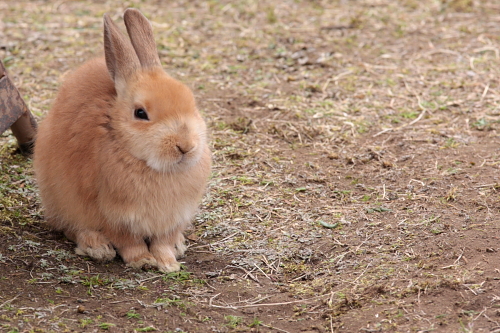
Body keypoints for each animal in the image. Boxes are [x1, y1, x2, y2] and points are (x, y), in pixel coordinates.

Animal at [32, 8, 213, 272]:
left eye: (192, 102)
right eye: (140, 113)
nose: (186, 146)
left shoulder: (172, 218)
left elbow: (163, 242)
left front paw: (169, 263)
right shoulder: (111, 215)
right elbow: (129, 242)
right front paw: (143, 261)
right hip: (61, 199)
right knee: (72, 228)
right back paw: (98, 248)